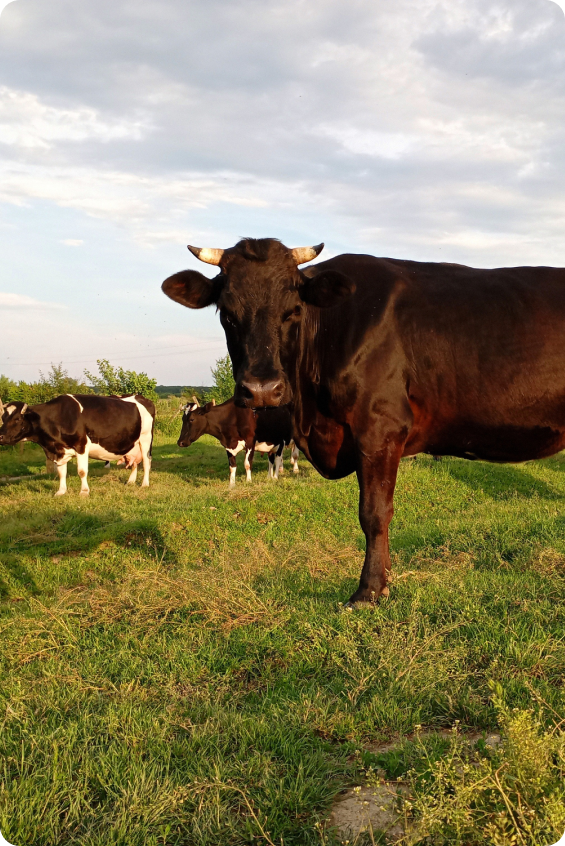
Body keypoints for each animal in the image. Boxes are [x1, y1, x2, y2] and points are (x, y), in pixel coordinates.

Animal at [0, 394, 155, 496]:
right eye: (3, 418)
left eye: (17, 419)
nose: (1, 436)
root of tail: (139, 397)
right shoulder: (60, 451)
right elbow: (61, 472)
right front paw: (61, 491)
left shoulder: (81, 445)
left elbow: (81, 471)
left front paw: (84, 492)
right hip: (133, 443)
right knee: (134, 462)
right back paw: (131, 481)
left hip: (146, 438)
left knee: (146, 461)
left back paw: (145, 484)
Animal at [162, 237, 565, 607]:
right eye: (227, 314)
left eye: (293, 311)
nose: (262, 390)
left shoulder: (380, 428)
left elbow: (373, 513)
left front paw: (369, 591)